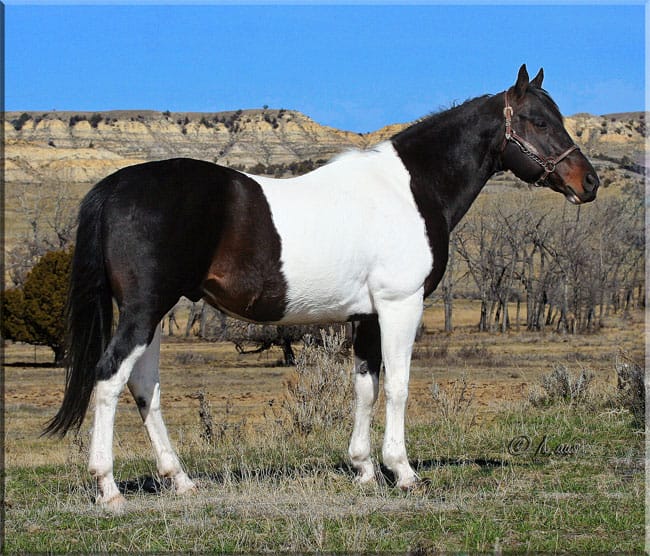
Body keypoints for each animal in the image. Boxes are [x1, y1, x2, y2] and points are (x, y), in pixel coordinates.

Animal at [45, 65, 599, 512]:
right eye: (539, 121)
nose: (589, 182)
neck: (411, 190)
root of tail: (115, 185)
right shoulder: (400, 305)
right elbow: (398, 386)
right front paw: (403, 472)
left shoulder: (367, 315)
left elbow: (365, 386)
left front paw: (364, 469)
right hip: (143, 310)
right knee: (109, 379)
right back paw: (108, 488)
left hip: (154, 312)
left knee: (144, 388)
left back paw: (180, 480)